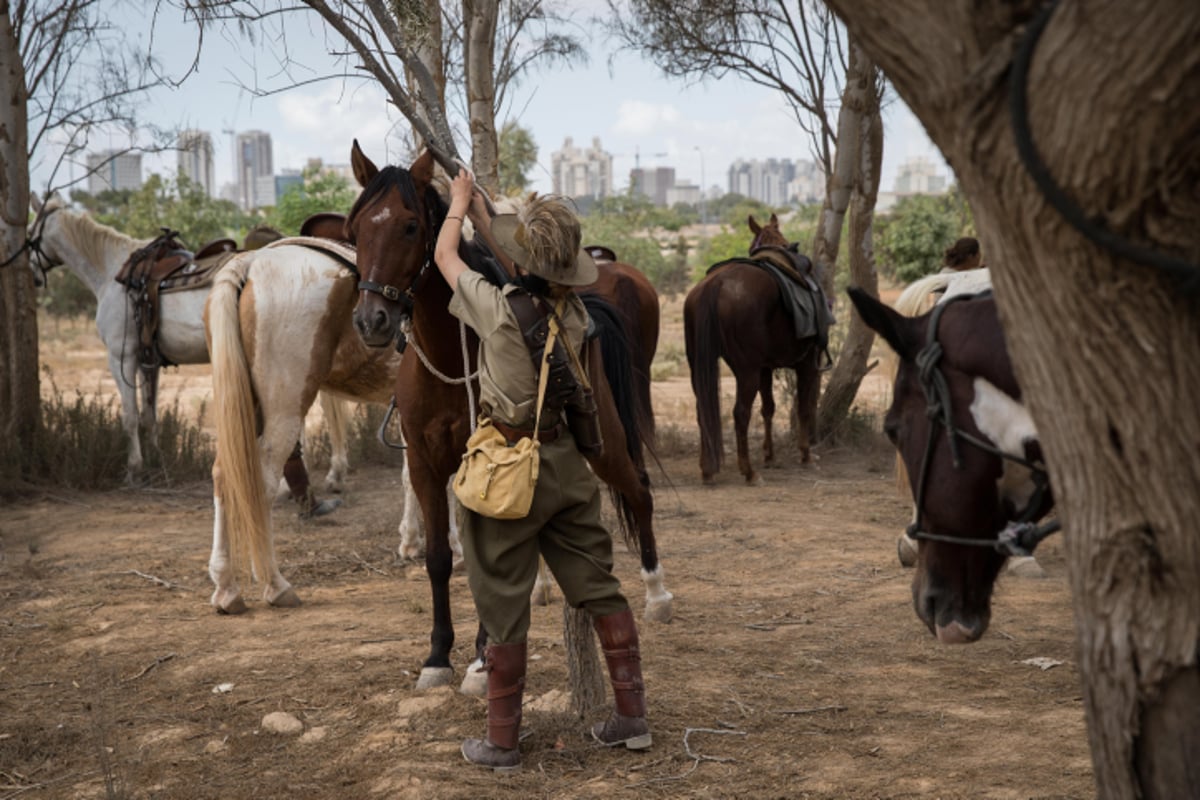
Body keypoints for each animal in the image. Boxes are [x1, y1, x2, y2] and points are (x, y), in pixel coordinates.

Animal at [27, 191, 350, 501]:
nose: (32, 275)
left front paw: (134, 471)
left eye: (31, 234)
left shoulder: (121, 356)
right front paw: (158, 463)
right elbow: (149, 416)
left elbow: (129, 417)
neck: (113, 274)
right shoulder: (148, 361)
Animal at [345, 146, 676, 690]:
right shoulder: (426, 465)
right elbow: (440, 559)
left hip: (604, 441)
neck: (452, 352)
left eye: (410, 226)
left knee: (638, 490)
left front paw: (483, 660)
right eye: (354, 230)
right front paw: (438, 656)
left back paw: (657, 592)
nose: (371, 321)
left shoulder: (483, 460)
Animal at [691, 212, 830, 484]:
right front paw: (806, 456)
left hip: (701, 366)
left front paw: (770, 455)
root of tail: (715, 284)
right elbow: (803, 409)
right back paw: (748, 471)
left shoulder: (765, 368)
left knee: (703, 409)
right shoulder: (806, 365)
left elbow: (769, 409)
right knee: (741, 413)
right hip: (747, 372)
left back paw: (707, 469)